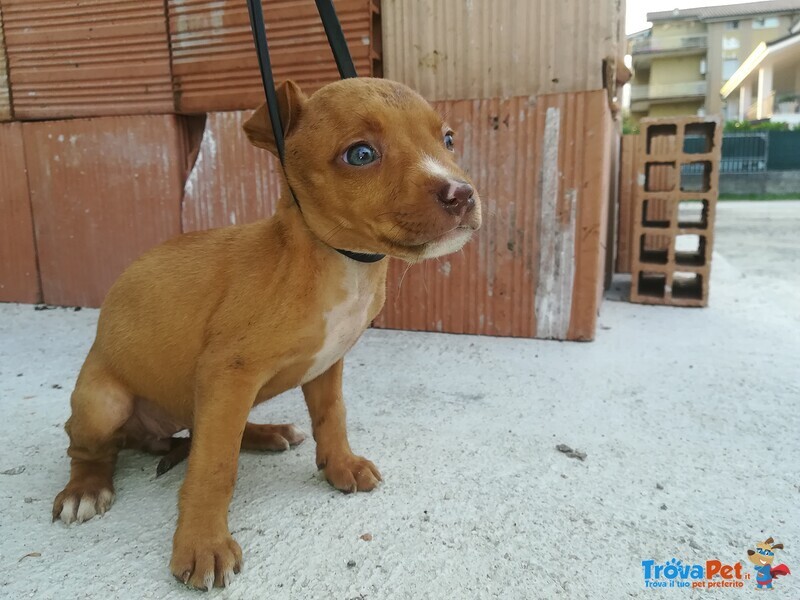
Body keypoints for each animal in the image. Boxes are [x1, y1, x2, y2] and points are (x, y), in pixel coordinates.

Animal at [53, 77, 484, 588]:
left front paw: (340, 465)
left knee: (204, 430)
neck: (334, 262)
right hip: (104, 403)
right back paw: (85, 488)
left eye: (449, 139)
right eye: (361, 154)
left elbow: (331, 417)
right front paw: (203, 543)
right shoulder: (227, 373)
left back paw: (266, 433)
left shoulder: (325, 366)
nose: (462, 193)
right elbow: (214, 466)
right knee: (89, 446)